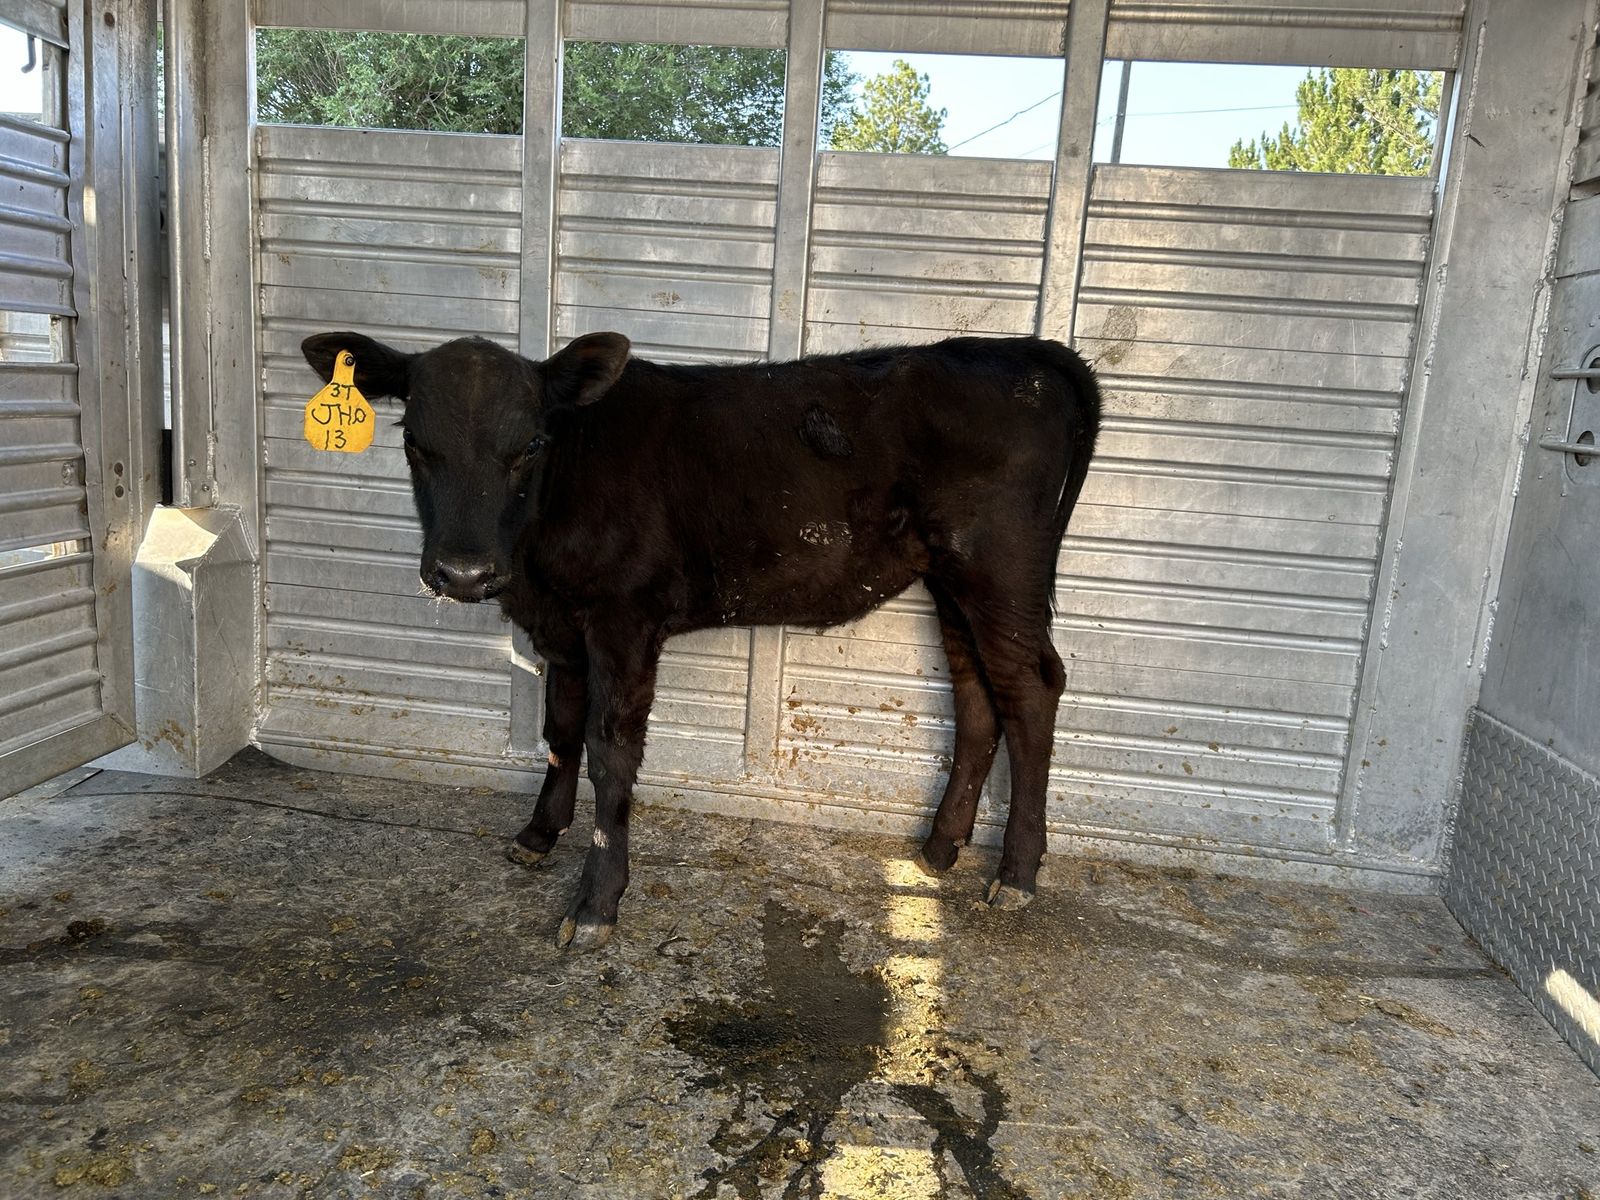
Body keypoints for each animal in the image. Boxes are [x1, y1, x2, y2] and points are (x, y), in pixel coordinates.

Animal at [301, 331, 1101, 950]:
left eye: (529, 443)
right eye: (413, 442)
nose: (463, 572)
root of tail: (1010, 348)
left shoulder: (623, 619)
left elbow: (608, 753)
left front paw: (596, 905)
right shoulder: (563, 627)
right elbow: (560, 731)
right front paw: (537, 834)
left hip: (998, 565)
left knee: (1031, 691)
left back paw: (1016, 874)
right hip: (950, 578)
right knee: (976, 694)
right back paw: (940, 848)